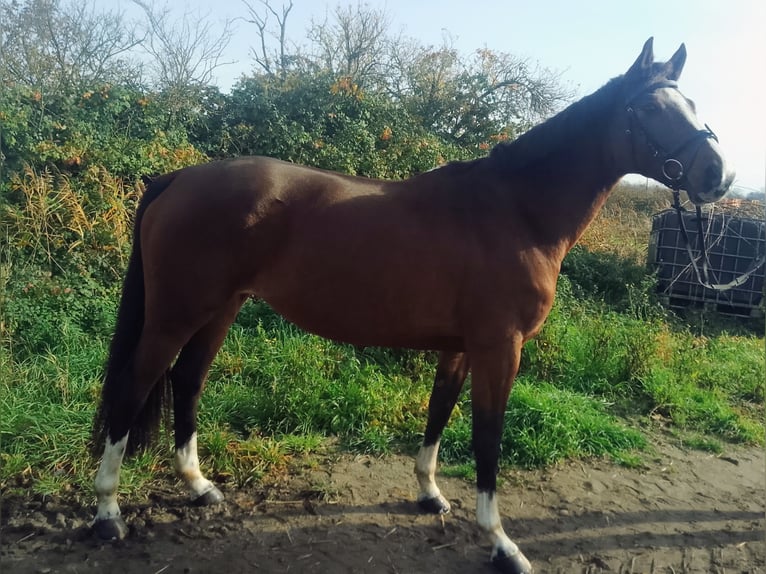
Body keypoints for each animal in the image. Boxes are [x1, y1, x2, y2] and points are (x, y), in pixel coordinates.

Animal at [90, 38, 733, 574]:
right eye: (650, 109)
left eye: (692, 102)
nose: (718, 174)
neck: (517, 211)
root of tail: (178, 177)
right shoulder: (501, 348)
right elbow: (487, 438)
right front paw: (501, 544)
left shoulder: (462, 348)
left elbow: (439, 413)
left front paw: (429, 494)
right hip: (176, 314)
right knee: (136, 385)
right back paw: (108, 514)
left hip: (220, 309)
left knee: (188, 381)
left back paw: (199, 487)